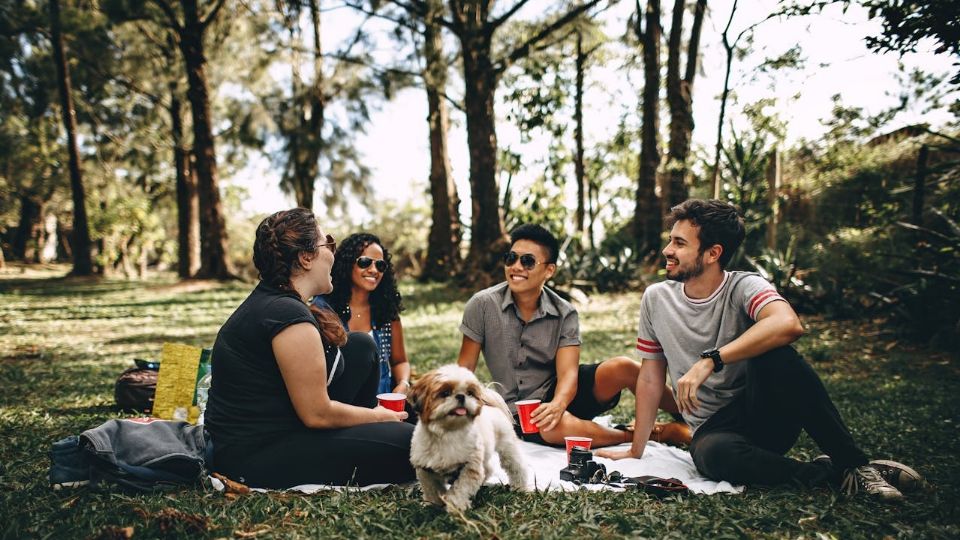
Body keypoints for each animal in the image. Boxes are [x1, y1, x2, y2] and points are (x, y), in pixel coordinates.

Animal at [404, 364, 524, 512]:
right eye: (445, 393)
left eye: (470, 393)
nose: (461, 396)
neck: (447, 433)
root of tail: (491, 406)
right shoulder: (425, 469)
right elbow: (432, 488)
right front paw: (433, 504)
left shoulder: (470, 466)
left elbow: (461, 488)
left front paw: (455, 505)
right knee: (487, 469)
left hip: (507, 447)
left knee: (516, 467)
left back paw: (521, 487)